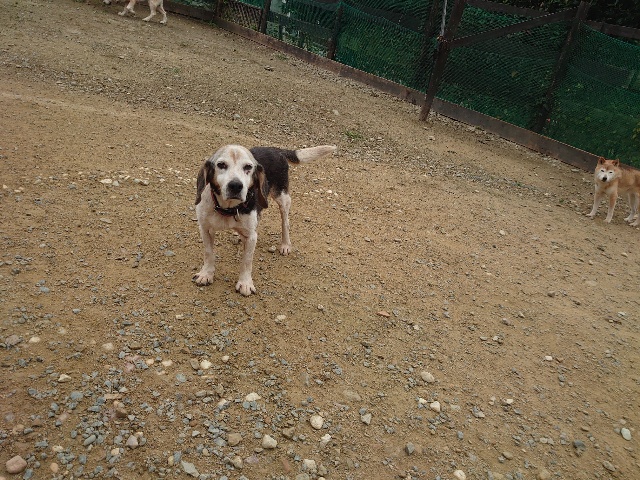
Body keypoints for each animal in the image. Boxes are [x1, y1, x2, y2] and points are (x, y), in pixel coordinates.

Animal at [193, 144, 337, 295]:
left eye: (248, 167)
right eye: (221, 165)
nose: (236, 185)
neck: (228, 208)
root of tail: (275, 149)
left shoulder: (251, 237)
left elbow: (247, 260)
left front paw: (245, 283)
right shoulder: (205, 229)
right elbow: (208, 253)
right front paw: (206, 274)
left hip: (283, 198)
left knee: (285, 222)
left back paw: (285, 244)